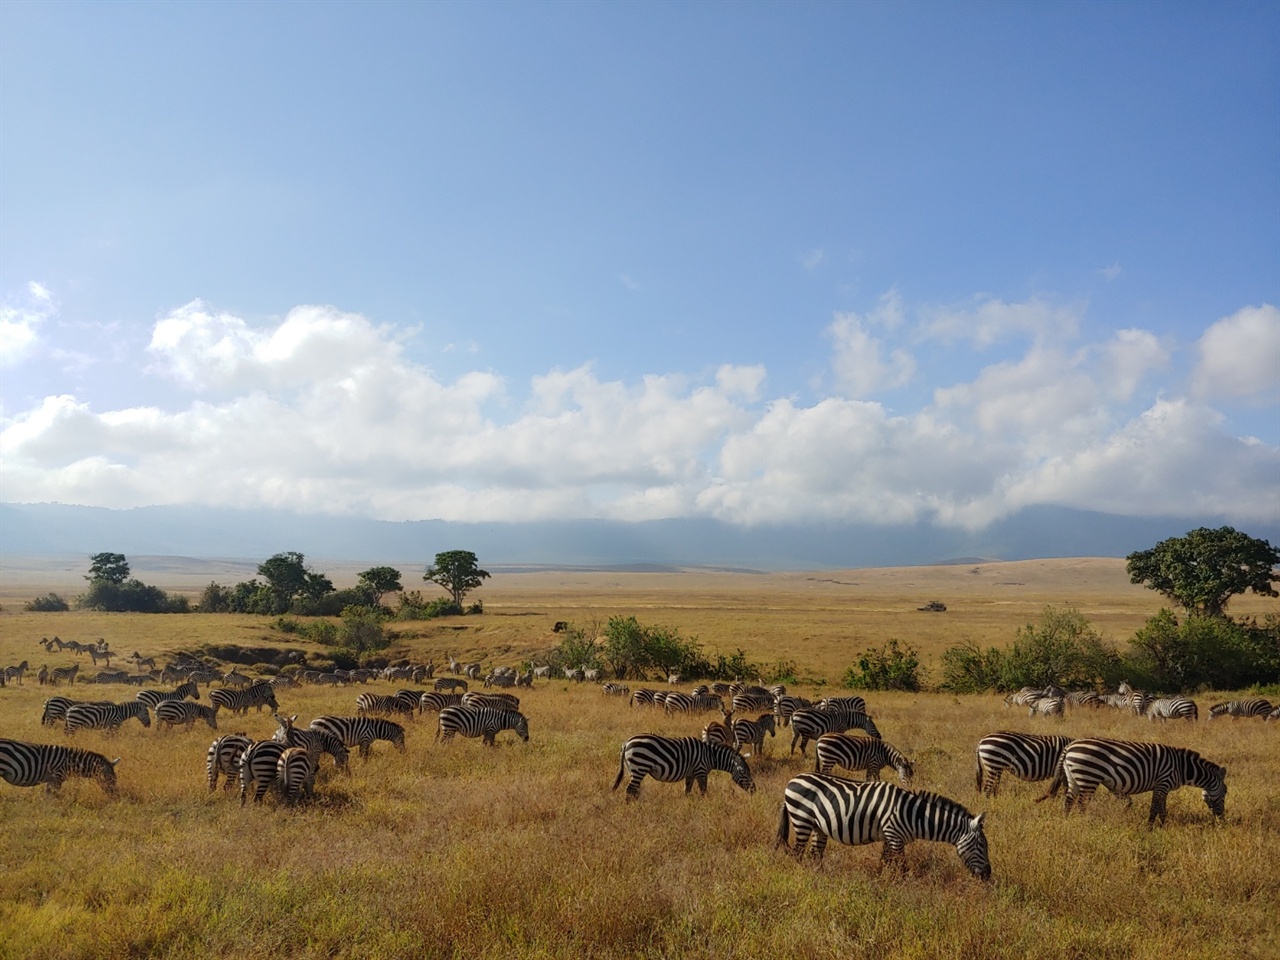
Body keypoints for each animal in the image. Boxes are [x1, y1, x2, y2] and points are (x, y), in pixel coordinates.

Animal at [611, 737, 752, 803]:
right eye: (744, 773)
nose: (754, 790)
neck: (710, 755)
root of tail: (626, 742)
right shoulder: (701, 771)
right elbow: (703, 791)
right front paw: (705, 804)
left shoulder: (691, 774)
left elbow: (687, 791)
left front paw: (687, 804)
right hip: (640, 766)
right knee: (629, 789)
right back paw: (630, 807)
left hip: (634, 770)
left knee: (634, 790)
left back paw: (637, 805)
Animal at [773, 773, 993, 880]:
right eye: (982, 846)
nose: (987, 876)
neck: (913, 813)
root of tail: (792, 780)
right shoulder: (894, 835)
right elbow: (902, 867)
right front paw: (906, 888)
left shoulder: (889, 837)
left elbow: (884, 862)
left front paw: (881, 881)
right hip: (802, 820)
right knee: (798, 853)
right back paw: (803, 877)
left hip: (818, 827)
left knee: (814, 854)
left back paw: (819, 877)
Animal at [1059, 737, 1228, 829]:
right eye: (1226, 792)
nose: (1222, 820)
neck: (1182, 768)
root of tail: (1070, 746)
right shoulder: (1162, 783)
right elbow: (1154, 808)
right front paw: (1149, 828)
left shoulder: (1164, 787)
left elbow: (1162, 809)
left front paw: (1162, 826)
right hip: (1089, 776)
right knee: (1081, 804)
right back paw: (1084, 823)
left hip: (1073, 777)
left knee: (1068, 801)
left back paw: (1066, 822)